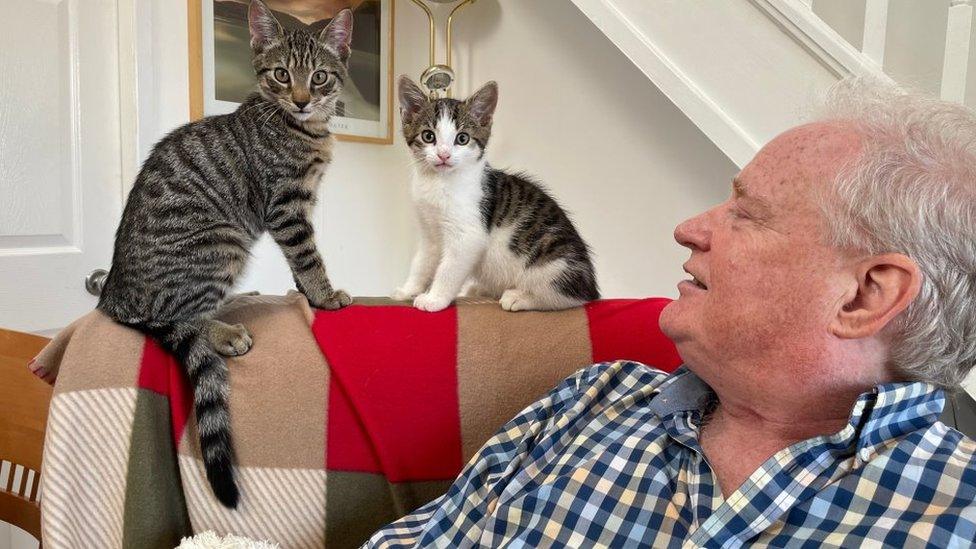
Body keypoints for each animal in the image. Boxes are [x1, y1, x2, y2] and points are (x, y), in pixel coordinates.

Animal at [95, 0, 352, 508]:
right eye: (280, 74)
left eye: (319, 77)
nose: (300, 100)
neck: (304, 129)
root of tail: (110, 296)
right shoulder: (286, 206)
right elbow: (308, 256)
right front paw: (323, 294)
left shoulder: (301, 202)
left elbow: (302, 261)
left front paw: (308, 292)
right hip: (222, 241)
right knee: (177, 317)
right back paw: (225, 332)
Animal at [392, 75, 600, 310]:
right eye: (428, 136)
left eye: (462, 139)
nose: (444, 155)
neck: (438, 181)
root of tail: (591, 285)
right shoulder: (429, 232)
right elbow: (422, 261)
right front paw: (408, 290)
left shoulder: (468, 235)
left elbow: (448, 269)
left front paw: (435, 299)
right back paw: (480, 289)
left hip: (555, 263)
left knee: (565, 296)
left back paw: (519, 297)